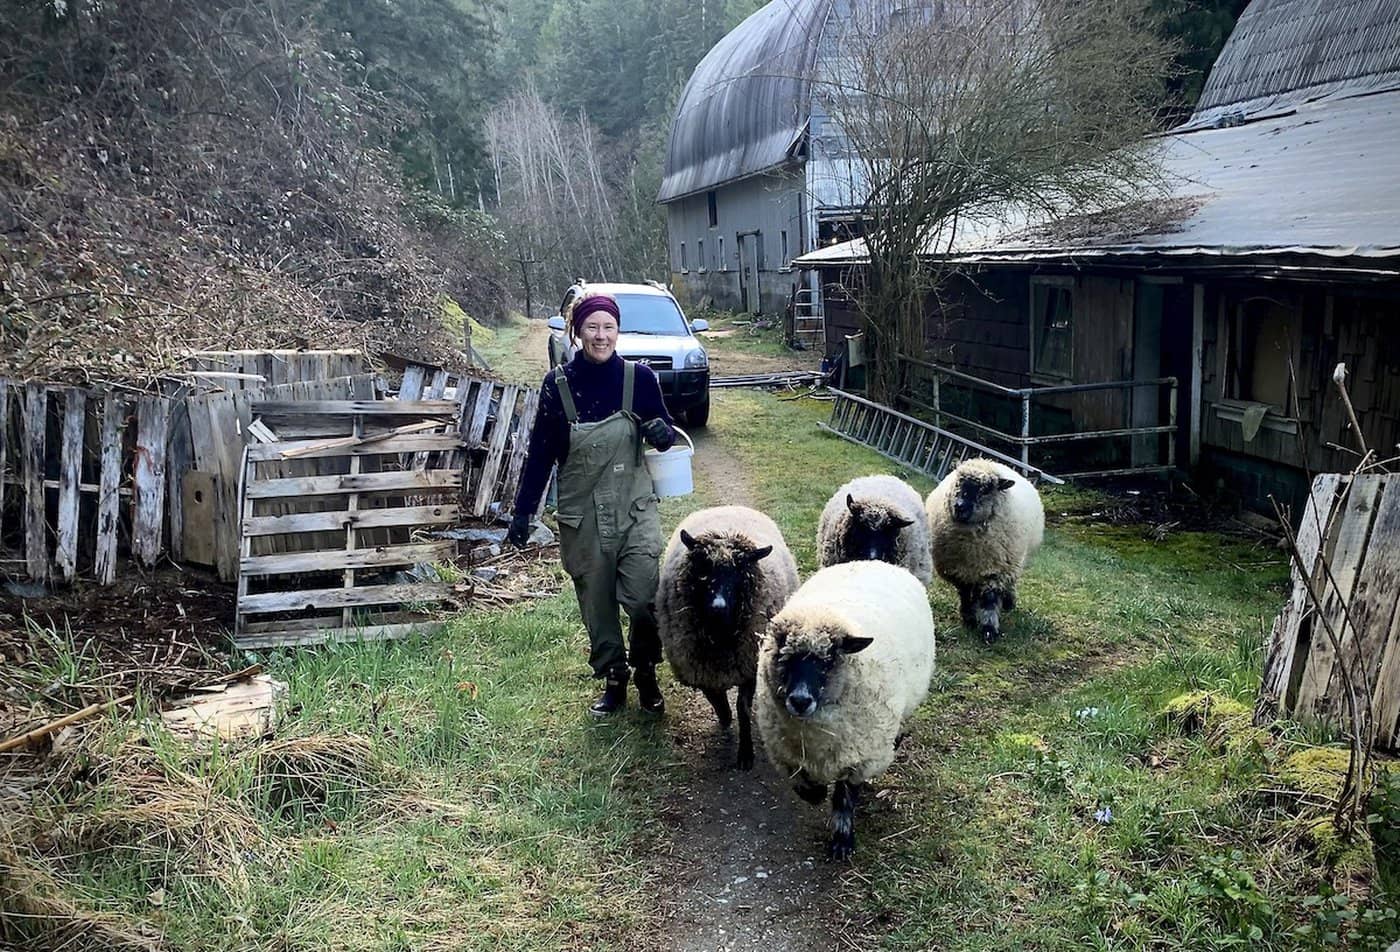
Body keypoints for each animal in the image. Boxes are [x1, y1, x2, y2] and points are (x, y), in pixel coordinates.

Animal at [657, 505, 800, 770]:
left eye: (738, 575)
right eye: (703, 572)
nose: (718, 607)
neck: (720, 633)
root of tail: (727, 507)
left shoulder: (749, 664)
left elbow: (742, 708)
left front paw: (745, 753)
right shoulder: (702, 669)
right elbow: (715, 698)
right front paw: (724, 717)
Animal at [755, 560, 935, 860]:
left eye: (828, 660)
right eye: (784, 656)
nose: (800, 700)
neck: (814, 735)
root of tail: (873, 562)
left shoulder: (859, 757)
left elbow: (843, 796)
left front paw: (841, 840)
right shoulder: (785, 752)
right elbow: (802, 782)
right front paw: (815, 793)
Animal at [925, 457, 1045, 643]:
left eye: (986, 489)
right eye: (958, 482)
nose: (959, 506)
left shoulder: (995, 570)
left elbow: (989, 600)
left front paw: (989, 630)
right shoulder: (958, 570)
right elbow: (965, 593)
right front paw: (969, 617)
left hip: (1016, 559)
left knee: (1011, 582)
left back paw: (1009, 602)